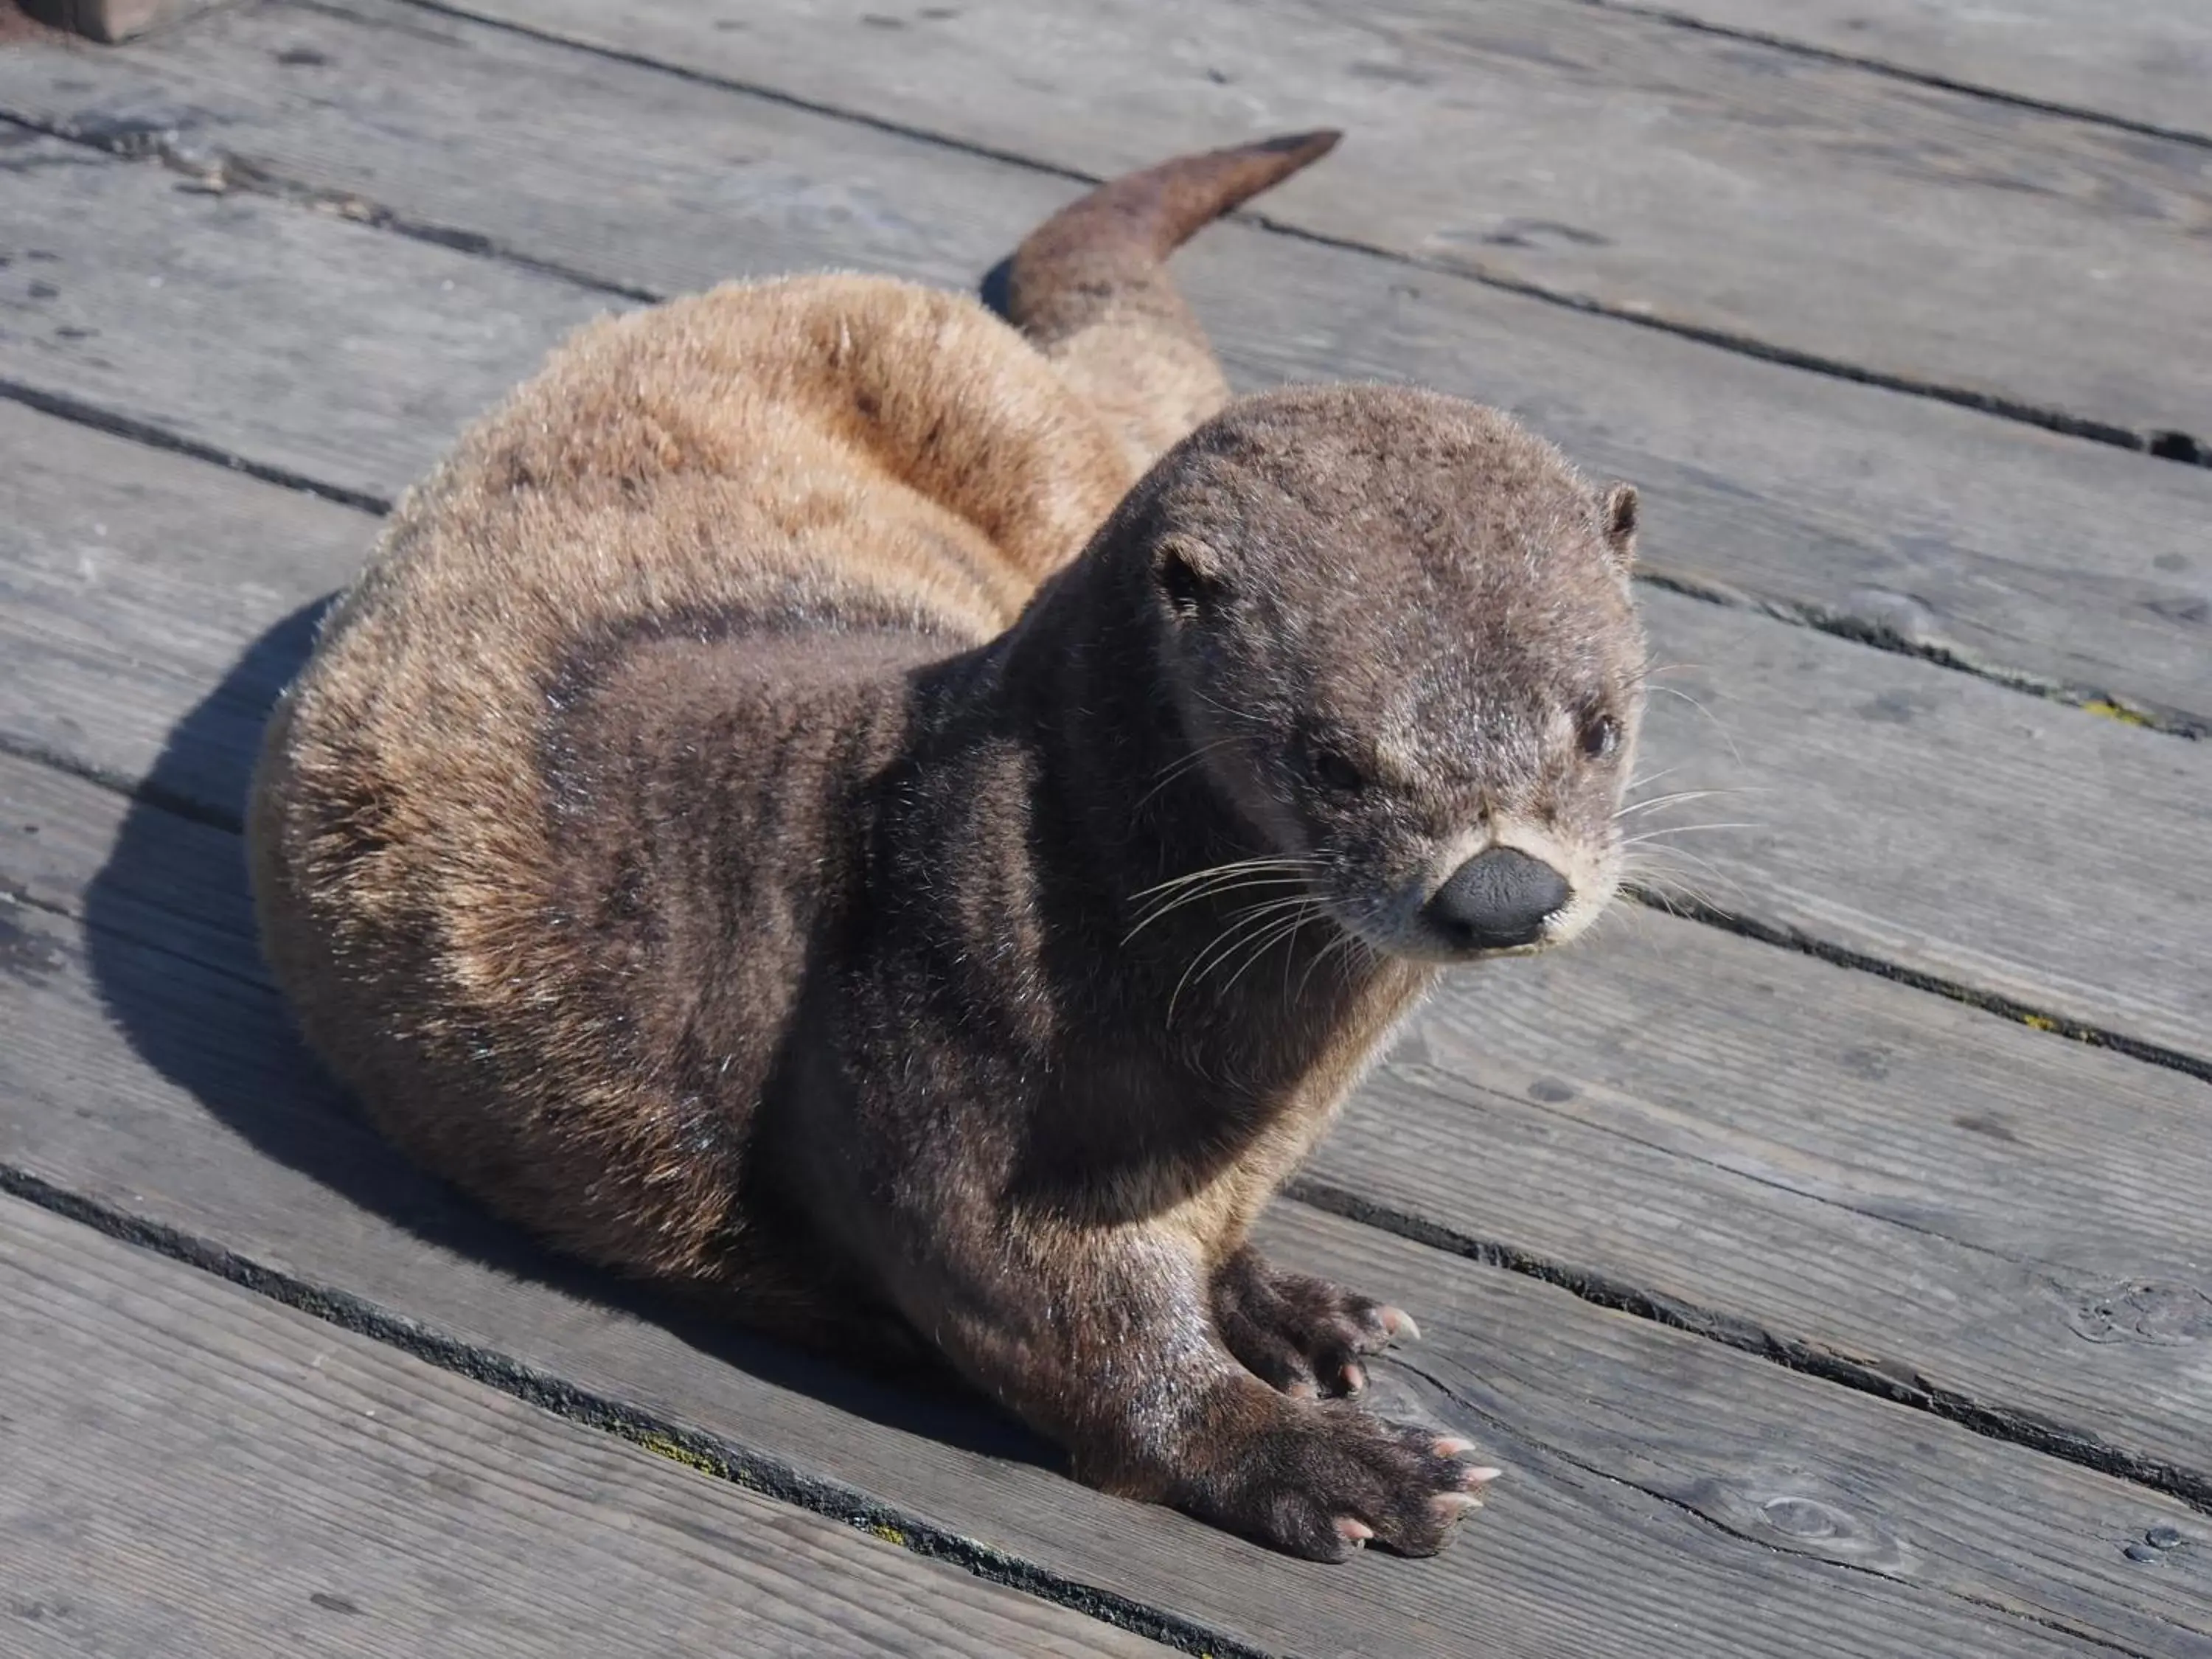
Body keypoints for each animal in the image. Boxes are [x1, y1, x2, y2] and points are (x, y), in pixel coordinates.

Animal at [254, 133, 1646, 1557]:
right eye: (1332, 757)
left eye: (1599, 726)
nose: (1502, 887)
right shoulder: (941, 1049)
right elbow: (1056, 1317)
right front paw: (1321, 1461)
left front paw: (1285, 1303)